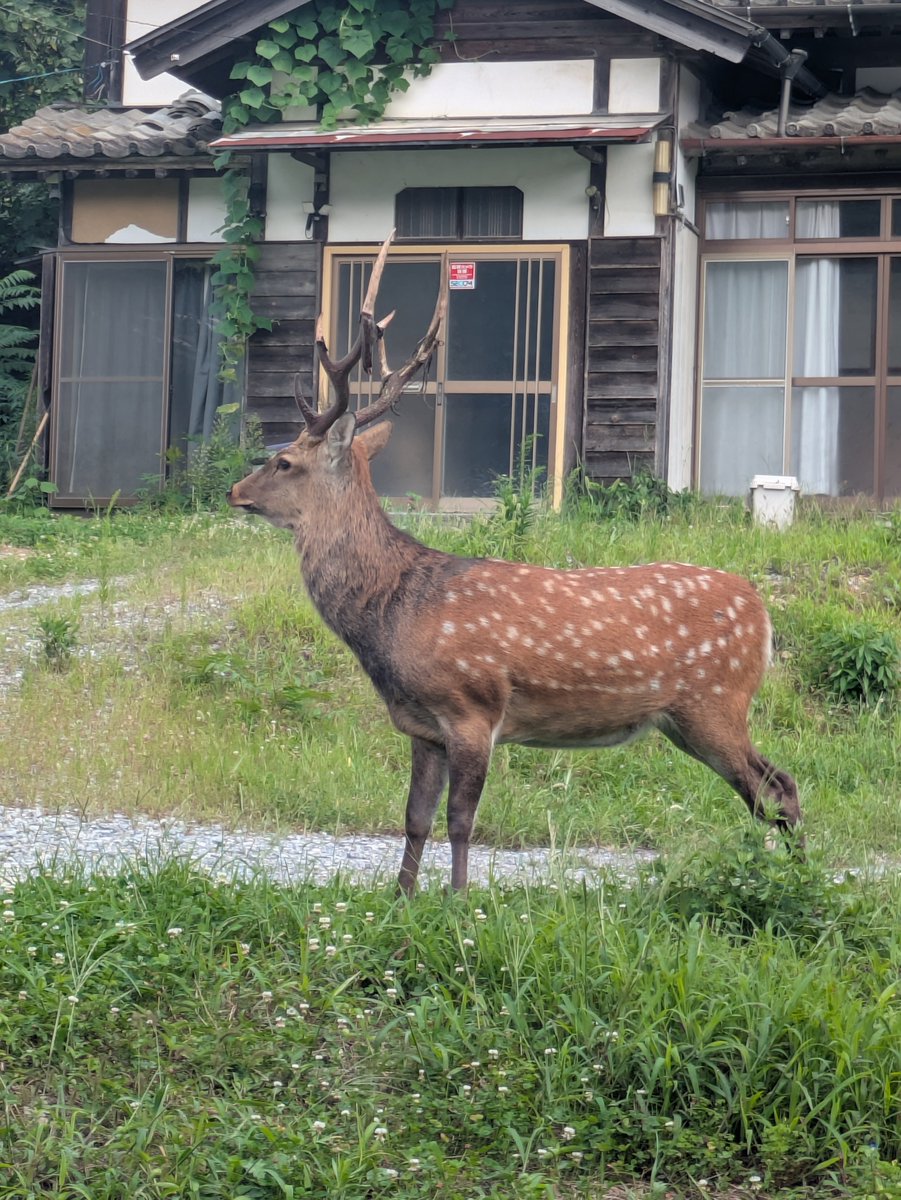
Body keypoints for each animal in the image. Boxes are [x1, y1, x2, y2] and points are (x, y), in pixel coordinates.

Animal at [227, 232, 802, 894]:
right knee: (774, 788)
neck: (394, 612)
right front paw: (401, 900)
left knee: (776, 786)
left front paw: (457, 901)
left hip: (716, 701)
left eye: (285, 462)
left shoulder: (473, 707)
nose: (234, 491)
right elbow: (414, 819)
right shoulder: (423, 727)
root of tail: (762, 613)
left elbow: (460, 821)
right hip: (686, 719)